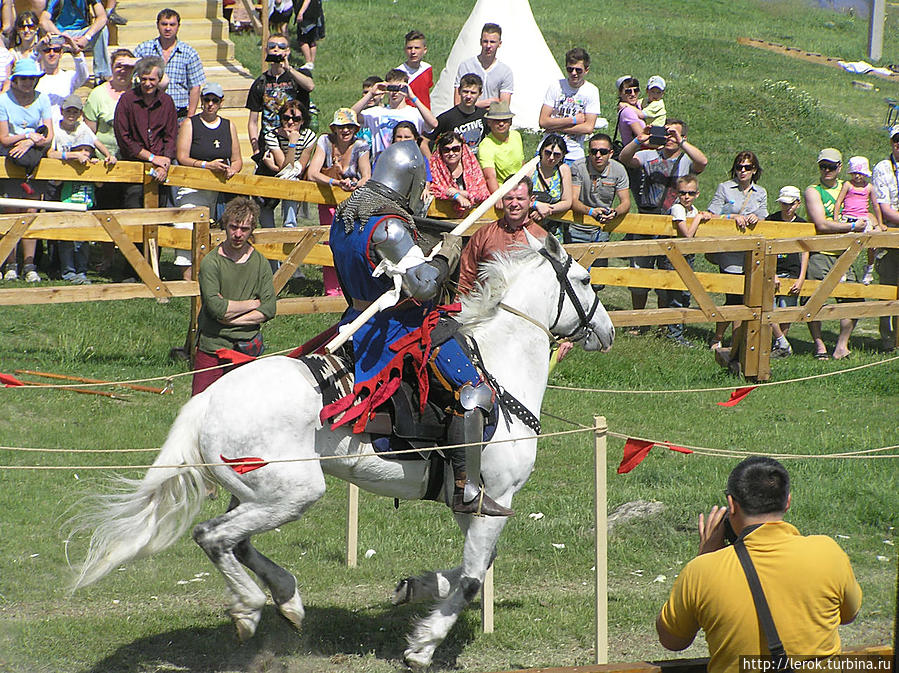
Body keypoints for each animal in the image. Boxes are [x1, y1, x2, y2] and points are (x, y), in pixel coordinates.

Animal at [70, 234, 616, 668]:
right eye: (586, 279)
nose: (607, 333)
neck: (502, 368)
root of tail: (206, 400)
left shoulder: (472, 505)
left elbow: (467, 571)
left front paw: (415, 588)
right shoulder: (493, 499)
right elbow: (471, 581)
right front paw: (422, 646)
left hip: (256, 490)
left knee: (239, 542)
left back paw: (287, 599)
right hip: (294, 490)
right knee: (213, 536)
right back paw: (250, 608)